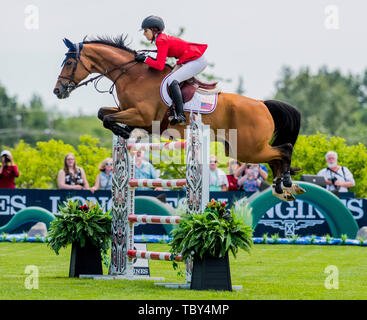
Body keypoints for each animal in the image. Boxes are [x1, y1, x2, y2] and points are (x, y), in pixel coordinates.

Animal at [53, 35, 306, 200]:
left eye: (69, 62)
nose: (58, 91)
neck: (132, 76)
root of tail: (263, 105)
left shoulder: (141, 115)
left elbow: (106, 118)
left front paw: (124, 131)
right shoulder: (129, 112)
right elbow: (102, 114)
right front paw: (124, 131)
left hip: (246, 148)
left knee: (283, 150)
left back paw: (286, 182)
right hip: (243, 148)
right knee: (276, 157)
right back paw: (282, 187)